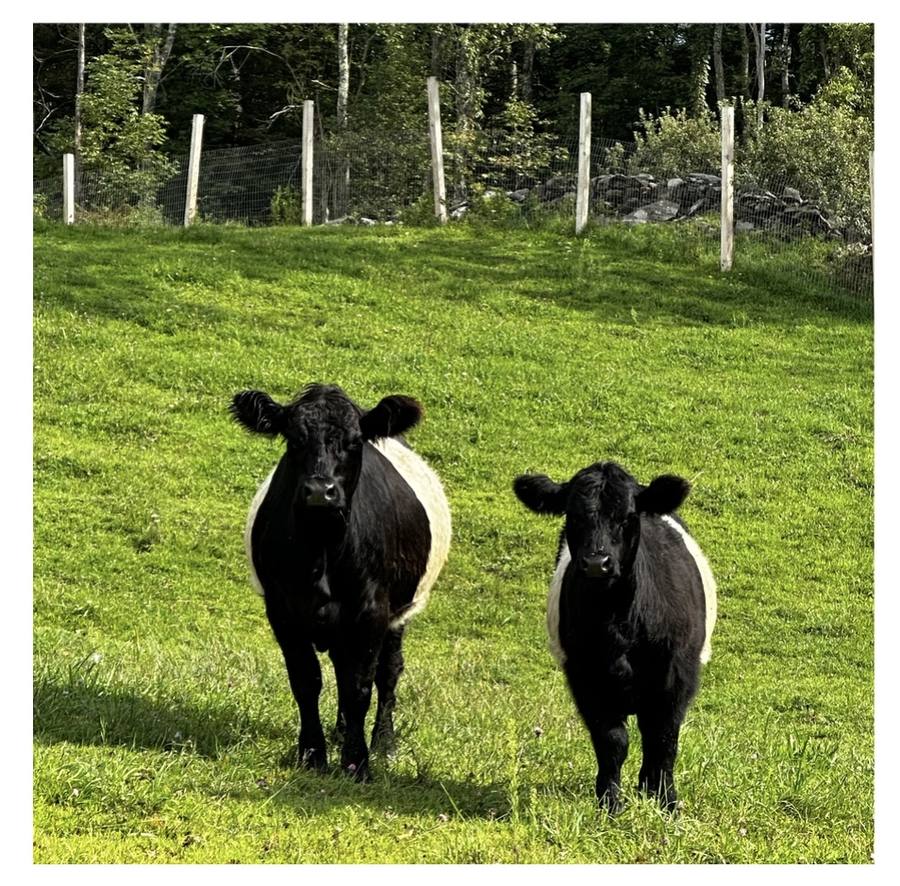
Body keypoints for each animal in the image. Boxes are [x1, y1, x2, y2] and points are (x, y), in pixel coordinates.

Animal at [231, 383, 451, 781]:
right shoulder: (281, 609)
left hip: (399, 613)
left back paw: (382, 742)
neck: (322, 547)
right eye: (294, 439)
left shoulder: (372, 611)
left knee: (388, 671)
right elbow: (306, 680)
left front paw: (357, 761)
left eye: (354, 441)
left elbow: (359, 685)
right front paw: (312, 754)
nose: (321, 490)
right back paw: (340, 730)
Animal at [513, 460, 716, 813]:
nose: (597, 563)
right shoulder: (585, 678)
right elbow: (612, 741)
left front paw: (665, 800)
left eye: (627, 516)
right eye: (573, 515)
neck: (618, 623)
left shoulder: (676, 676)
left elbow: (663, 739)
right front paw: (609, 802)